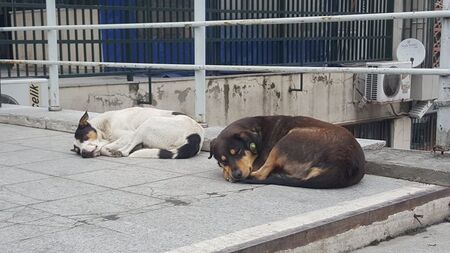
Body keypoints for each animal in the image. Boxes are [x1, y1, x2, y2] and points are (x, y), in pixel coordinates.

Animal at [71, 107, 205, 159]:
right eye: (77, 150)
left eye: (84, 137)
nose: (83, 153)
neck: (104, 125)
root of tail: (196, 136)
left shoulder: (128, 135)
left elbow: (104, 147)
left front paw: (109, 151)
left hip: (146, 124)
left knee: (126, 152)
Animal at [210, 116, 366, 188]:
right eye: (223, 160)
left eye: (238, 151)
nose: (237, 175)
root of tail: (342, 165)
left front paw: (228, 175)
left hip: (287, 139)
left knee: (261, 174)